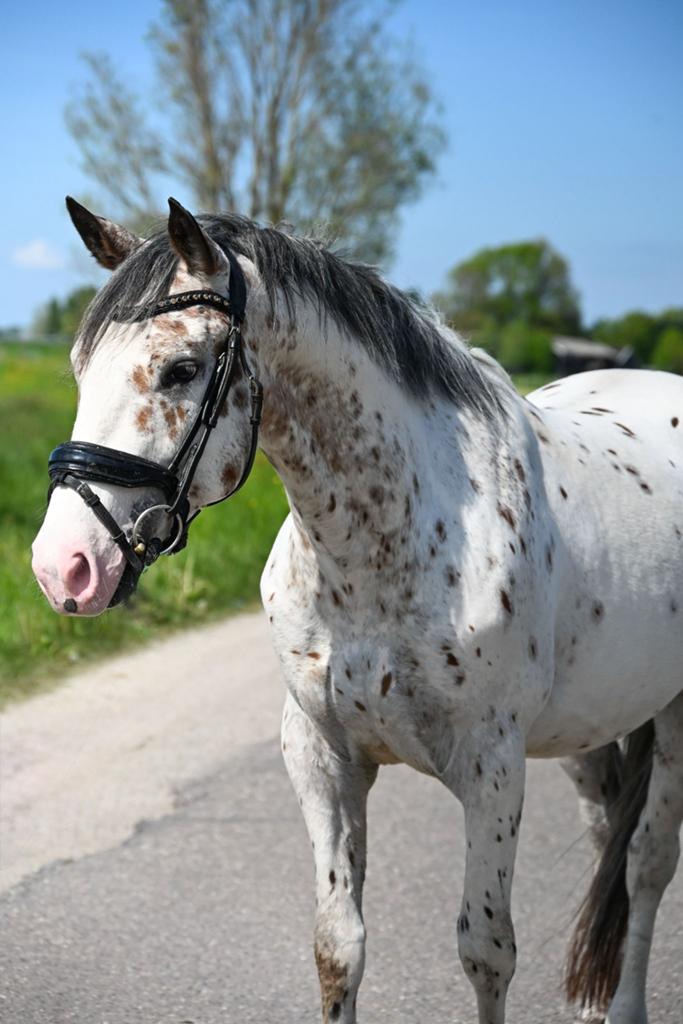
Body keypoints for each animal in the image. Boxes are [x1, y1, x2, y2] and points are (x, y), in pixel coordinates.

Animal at [32, 197, 683, 1024]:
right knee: (608, 842)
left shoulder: (492, 770)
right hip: (589, 728)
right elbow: (337, 945)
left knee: (646, 862)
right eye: (80, 369)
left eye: (180, 369)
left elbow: (486, 950)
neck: (388, 540)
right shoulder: (322, 756)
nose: (64, 567)